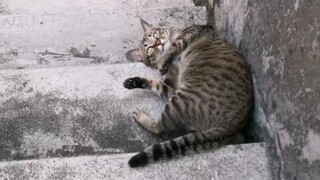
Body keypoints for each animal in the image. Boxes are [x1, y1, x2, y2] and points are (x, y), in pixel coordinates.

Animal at [122, 19, 252, 167]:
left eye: (155, 34)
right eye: (149, 49)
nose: (158, 42)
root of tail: (233, 125)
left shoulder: (199, 29)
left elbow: (175, 45)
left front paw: (163, 61)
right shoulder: (173, 83)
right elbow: (162, 79)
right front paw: (161, 65)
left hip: (180, 98)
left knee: (162, 128)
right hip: (180, 99)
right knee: (161, 128)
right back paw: (135, 86)